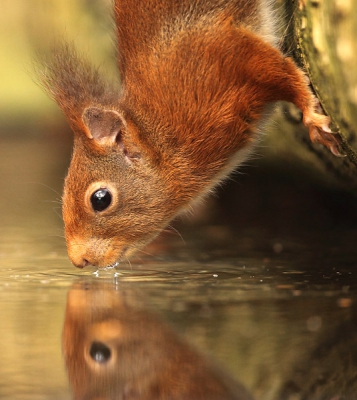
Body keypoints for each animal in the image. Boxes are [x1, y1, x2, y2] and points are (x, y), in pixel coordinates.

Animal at [38, 0, 340, 268]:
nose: (79, 261)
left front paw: (311, 115)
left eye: (100, 199)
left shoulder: (225, 56)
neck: (163, 135)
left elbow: (282, 73)